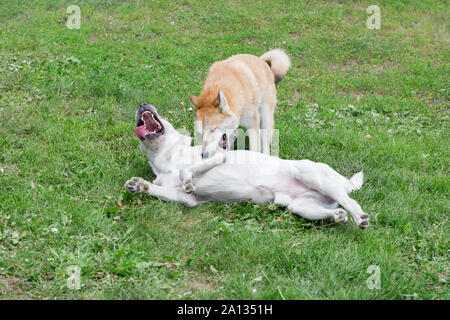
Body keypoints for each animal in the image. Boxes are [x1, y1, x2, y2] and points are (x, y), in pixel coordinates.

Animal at [124, 104, 370, 229]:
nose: (142, 104)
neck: (166, 158)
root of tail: (343, 183)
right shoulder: (188, 200)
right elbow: (158, 189)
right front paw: (139, 185)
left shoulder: (218, 154)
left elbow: (187, 171)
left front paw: (187, 181)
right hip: (302, 207)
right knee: (335, 209)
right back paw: (338, 216)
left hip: (308, 173)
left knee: (352, 202)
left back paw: (360, 218)